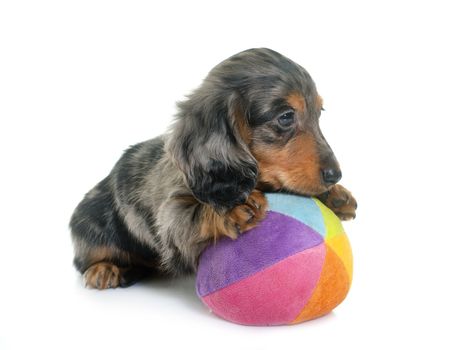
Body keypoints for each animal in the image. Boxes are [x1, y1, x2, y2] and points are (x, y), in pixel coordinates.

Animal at [70, 47, 356, 288]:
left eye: (319, 112)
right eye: (286, 116)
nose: (335, 175)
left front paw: (334, 196)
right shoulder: (170, 216)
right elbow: (191, 213)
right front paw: (234, 208)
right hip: (91, 226)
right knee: (84, 259)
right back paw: (104, 269)